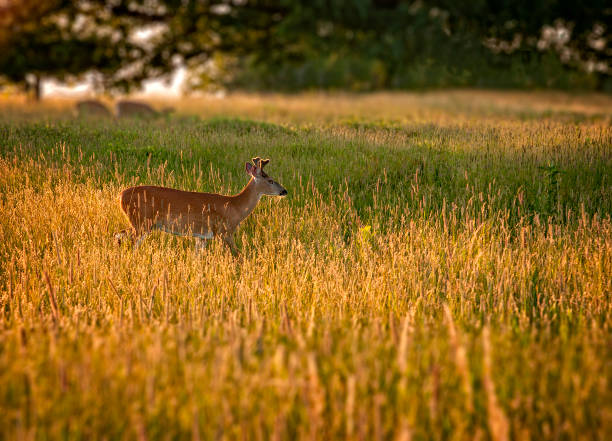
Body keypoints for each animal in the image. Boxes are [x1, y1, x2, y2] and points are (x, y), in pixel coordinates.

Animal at [115, 157, 286, 254]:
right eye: (270, 180)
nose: (284, 191)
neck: (234, 207)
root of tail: (121, 196)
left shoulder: (202, 236)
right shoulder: (224, 231)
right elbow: (238, 256)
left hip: (139, 222)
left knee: (118, 235)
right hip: (142, 221)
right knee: (130, 242)